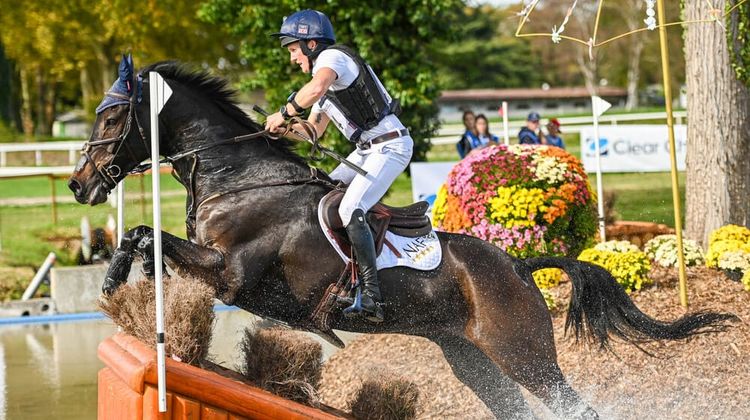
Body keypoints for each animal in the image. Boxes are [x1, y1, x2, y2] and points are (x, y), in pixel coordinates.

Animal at [67, 60, 736, 418]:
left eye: (111, 117)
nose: (79, 184)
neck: (241, 178)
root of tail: (520, 268)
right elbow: (141, 237)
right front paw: (127, 284)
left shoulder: (233, 276)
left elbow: (147, 235)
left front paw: (124, 283)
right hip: (473, 359)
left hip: (522, 353)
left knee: (570, 403)